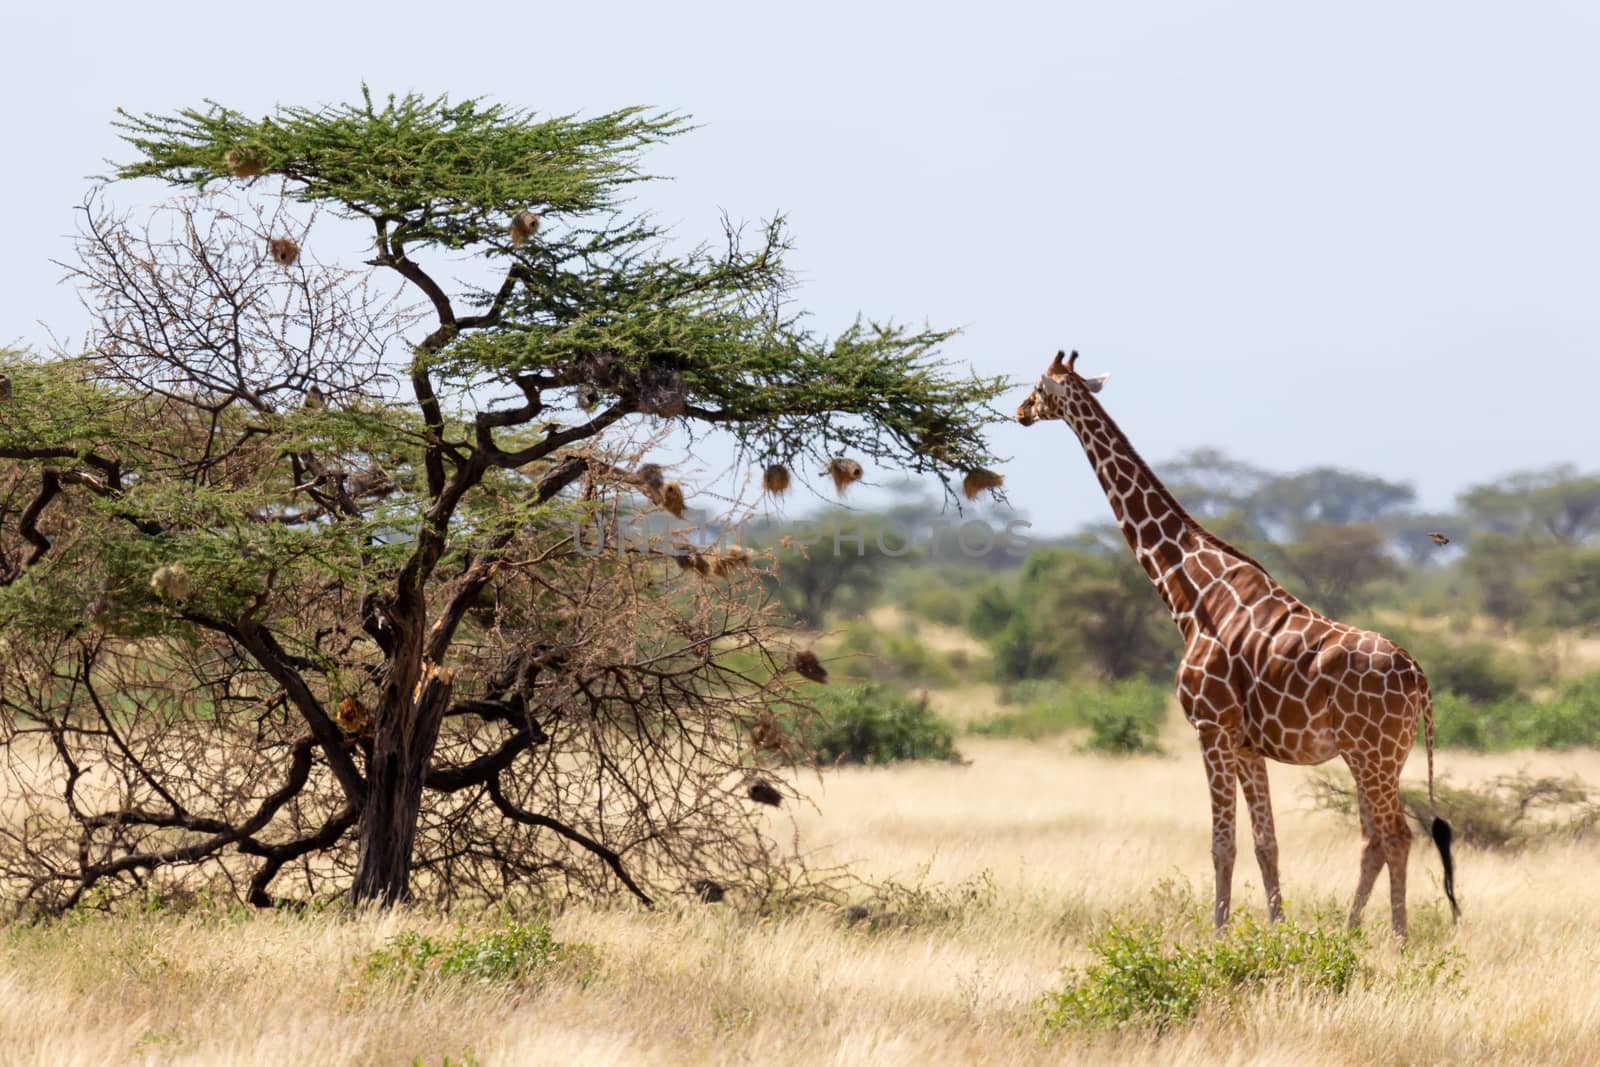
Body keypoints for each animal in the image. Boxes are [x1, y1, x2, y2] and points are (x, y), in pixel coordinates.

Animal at [1017, 350, 1459, 934]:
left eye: (1038, 386)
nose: (1020, 411)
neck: (1190, 590)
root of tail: (1420, 678)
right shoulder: (1249, 744)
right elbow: (1267, 843)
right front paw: (1276, 930)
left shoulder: (1211, 728)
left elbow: (1221, 844)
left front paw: (1219, 933)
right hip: (1380, 754)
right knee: (1373, 840)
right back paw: (1347, 932)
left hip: (1373, 752)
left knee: (1396, 836)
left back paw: (1397, 938)